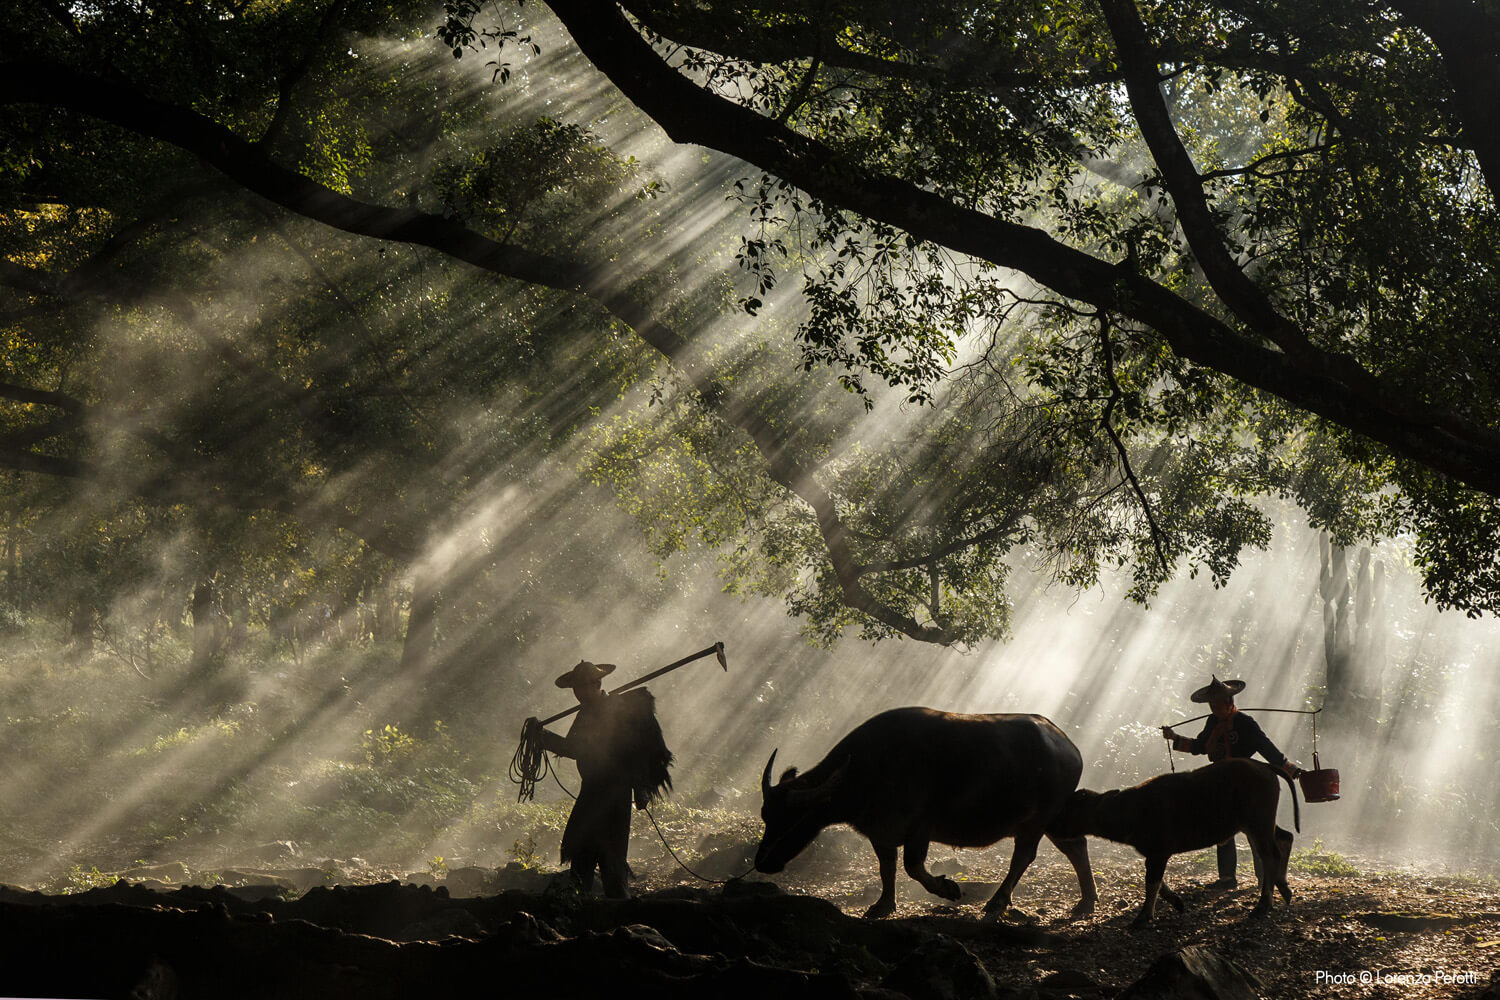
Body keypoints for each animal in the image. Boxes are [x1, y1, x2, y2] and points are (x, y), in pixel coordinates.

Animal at [756, 707, 1098, 917]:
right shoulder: (881, 833)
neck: (868, 766)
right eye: (766, 817)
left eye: (791, 819)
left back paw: (998, 901)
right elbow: (887, 868)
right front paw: (883, 905)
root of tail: (1069, 746)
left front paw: (947, 888)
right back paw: (1086, 900)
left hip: (1037, 822)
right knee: (1076, 846)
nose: (762, 862)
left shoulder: (919, 828)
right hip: (1054, 820)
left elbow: (912, 867)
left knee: (1023, 857)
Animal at [1044, 758, 1302, 929]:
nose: (1050, 824)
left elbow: (1152, 882)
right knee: (1285, 838)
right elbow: (1157, 881)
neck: (1131, 809)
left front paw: (1143, 916)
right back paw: (1284, 887)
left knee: (1270, 854)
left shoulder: (1158, 852)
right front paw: (1177, 902)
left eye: (1071, 807)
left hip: (1258, 823)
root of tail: (1263, 766)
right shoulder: (1154, 854)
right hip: (1258, 824)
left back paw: (1264, 904)